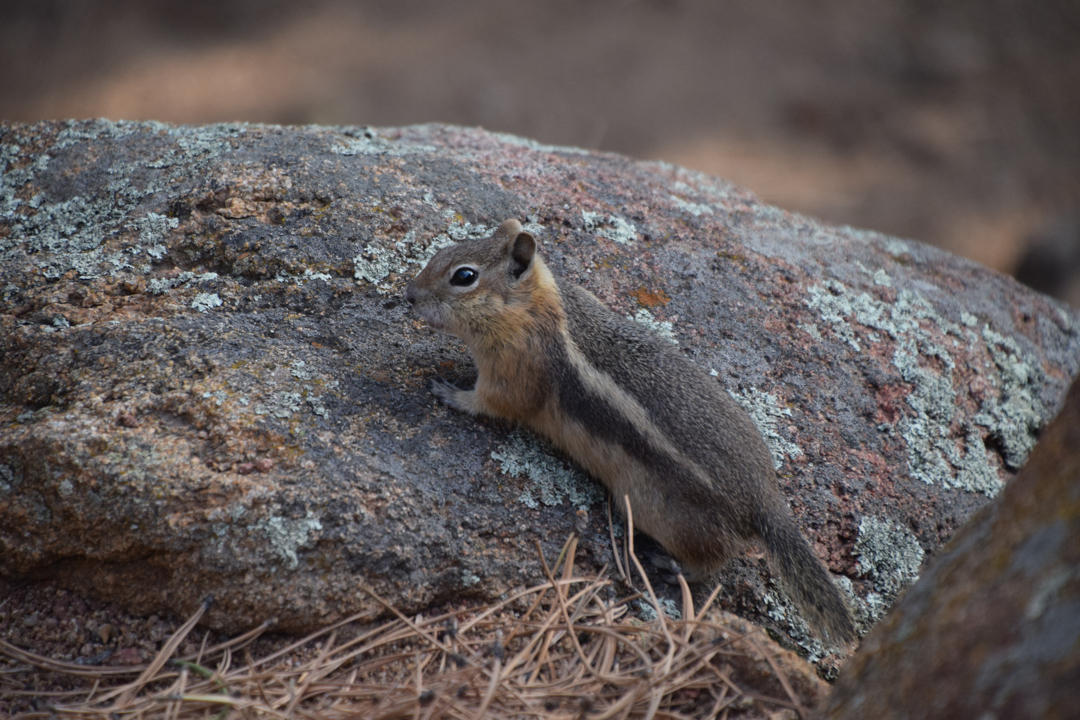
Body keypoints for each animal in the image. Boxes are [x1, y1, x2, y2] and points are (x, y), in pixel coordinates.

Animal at [406, 216, 859, 639]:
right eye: (443, 251)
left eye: (464, 276)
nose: (409, 295)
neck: (532, 308)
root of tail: (764, 499)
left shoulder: (516, 373)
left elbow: (494, 404)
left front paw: (451, 394)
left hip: (662, 514)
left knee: (714, 562)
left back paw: (673, 566)